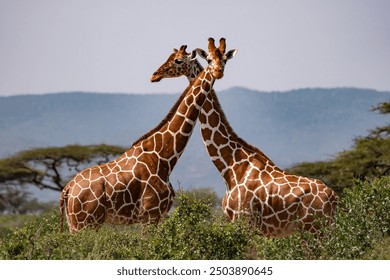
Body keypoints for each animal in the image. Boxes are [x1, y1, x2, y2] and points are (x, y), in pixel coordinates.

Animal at [59, 38, 236, 233]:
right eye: (210, 60)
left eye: (224, 60)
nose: (154, 75)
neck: (163, 156)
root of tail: (67, 190)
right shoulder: (149, 214)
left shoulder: (159, 214)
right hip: (84, 224)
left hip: (74, 224)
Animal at [151, 45, 336, 236]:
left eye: (178, 60)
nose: (155, 75)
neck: (231, 167)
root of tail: (333, 198)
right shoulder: (236, 221)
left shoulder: (245, 221)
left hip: (313, 229)